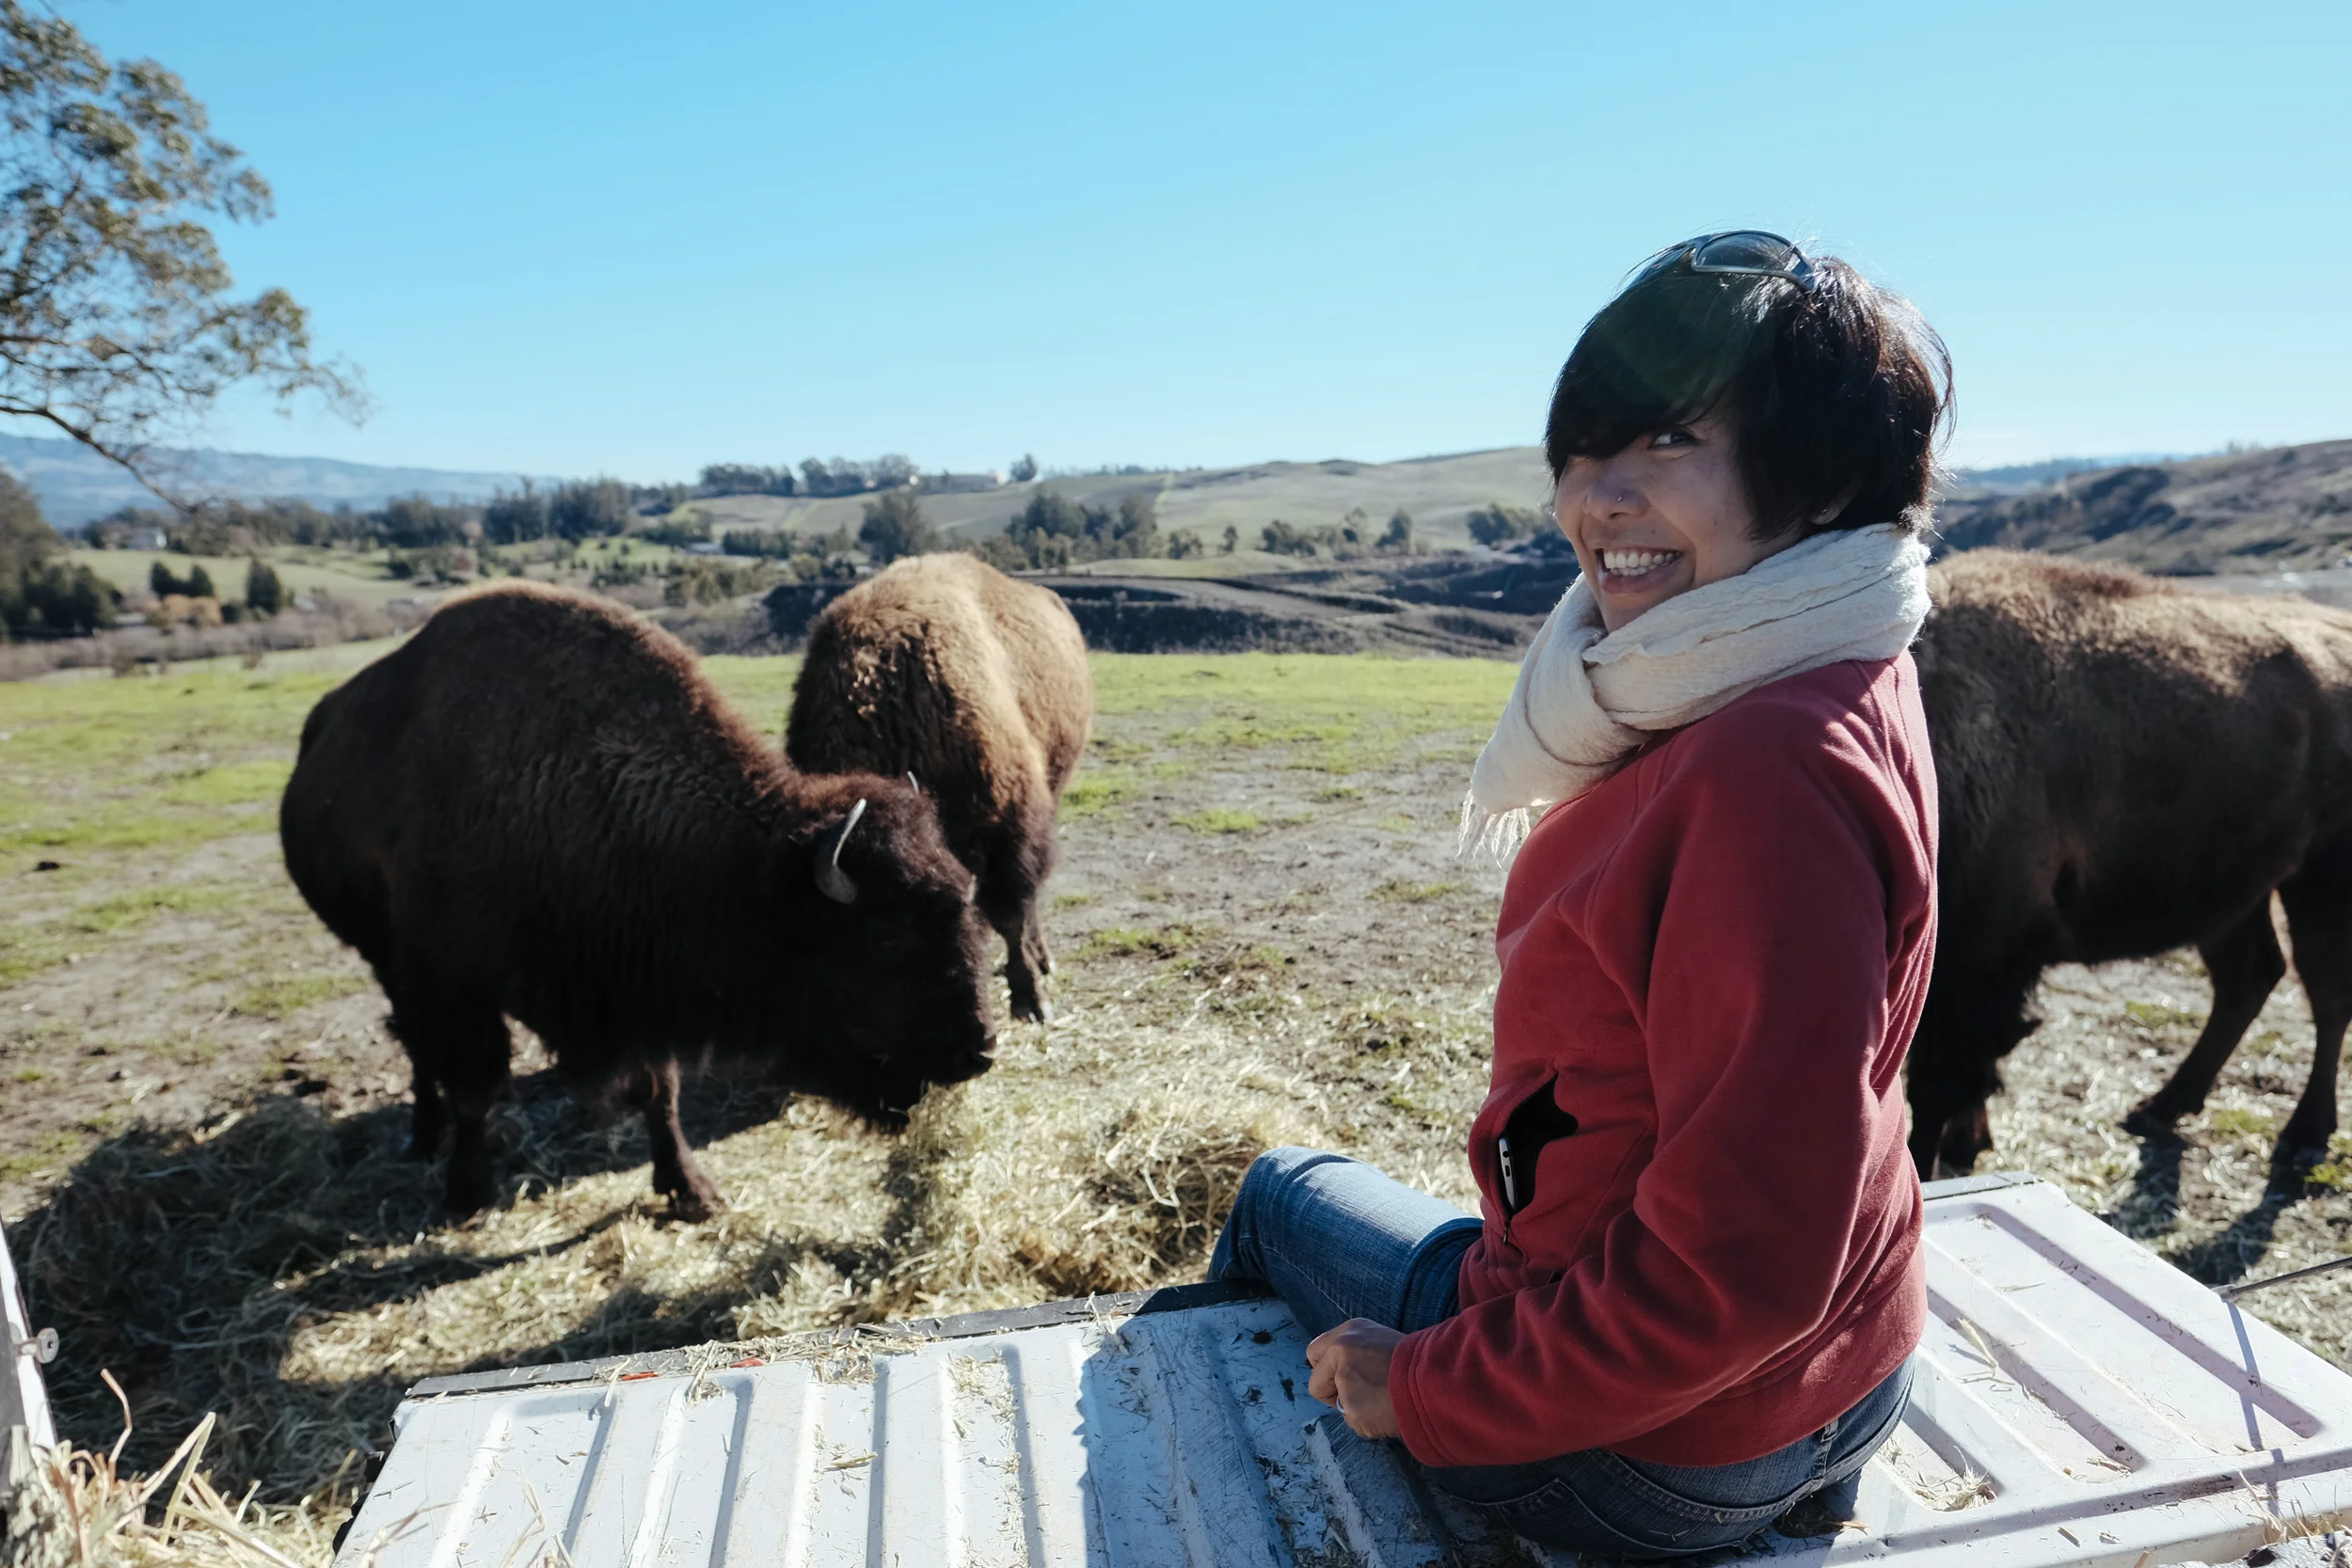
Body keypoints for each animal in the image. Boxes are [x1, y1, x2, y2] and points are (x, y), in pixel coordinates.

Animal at [280, 582, 997, 1218]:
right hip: (383, 956)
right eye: (886, 937)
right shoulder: (453, 986)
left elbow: (660, 1090)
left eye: (965, 908)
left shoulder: (642, 985)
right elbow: (474, 1089)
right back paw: (425, 1136)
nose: (980, 1050)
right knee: (415, 1047)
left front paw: (691, 1189)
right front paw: (468, 1193)